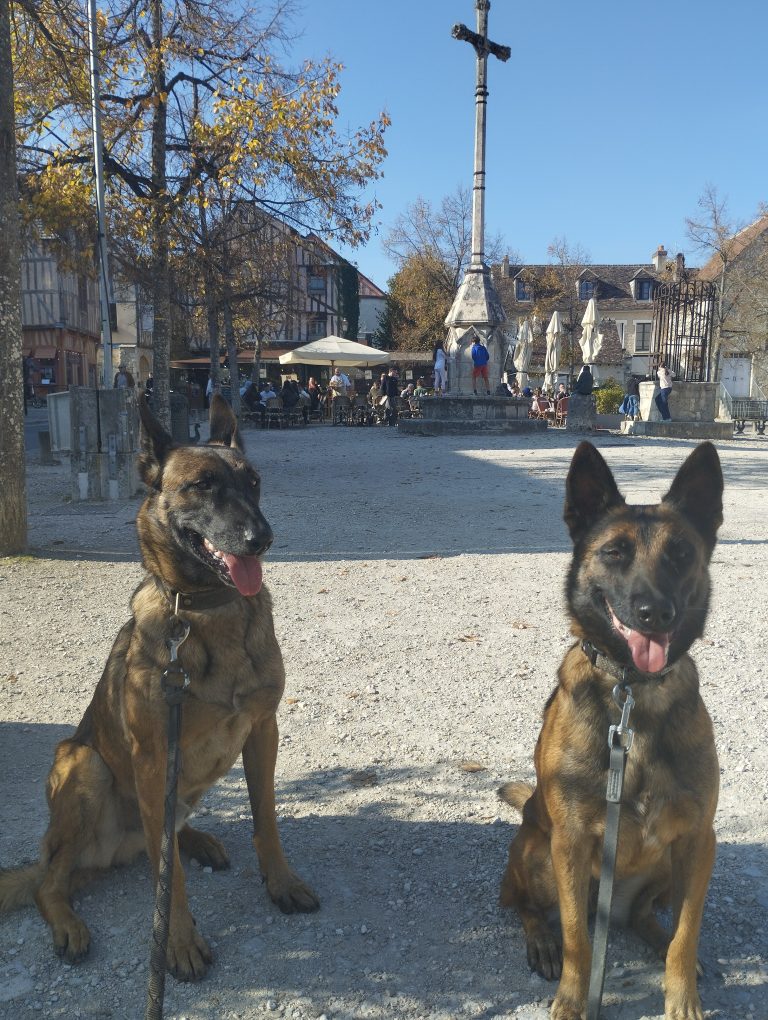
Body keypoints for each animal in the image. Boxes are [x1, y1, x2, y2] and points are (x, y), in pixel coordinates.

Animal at [0, 394, 318, 980]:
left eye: (254, 482)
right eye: (202, 485)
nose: (261, 539)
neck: (205, 612)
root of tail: (110, 849)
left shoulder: (263, 731)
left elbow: (266, 819)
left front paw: (281, 882)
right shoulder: (152, 757)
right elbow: (171, 878)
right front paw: (179, 941)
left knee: (163, 836)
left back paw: (197, 839)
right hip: (87, 765)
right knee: (53, 883)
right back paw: (69, 923)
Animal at [499, 441, 723, 1020]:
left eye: (680, 554)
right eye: (615, 552)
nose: (654, 613)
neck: (634, 695)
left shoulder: (697, 839)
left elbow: (687, 933)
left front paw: (682, 995)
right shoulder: (572, 843)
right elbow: (580, 938)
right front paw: (573, 1001)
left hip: (667, 864)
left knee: (650, 918)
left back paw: (655, 936)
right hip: (538, 853)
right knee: (520, 902)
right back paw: (542, 941)